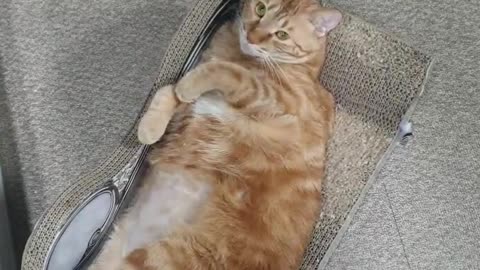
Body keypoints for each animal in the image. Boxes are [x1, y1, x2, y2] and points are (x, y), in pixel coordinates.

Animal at [90, 0, 342, 270]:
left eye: (282, 35)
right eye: (261, 9)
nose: (251, 36)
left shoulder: (276, 100)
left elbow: (225, 72)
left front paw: (190, 84)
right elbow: (168, 91)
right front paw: (150, 127)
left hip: (161, 258)